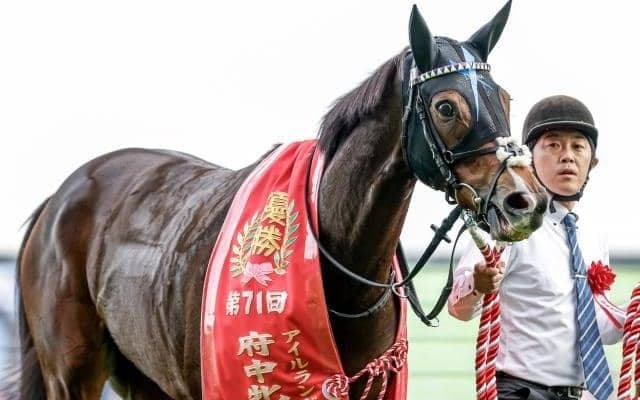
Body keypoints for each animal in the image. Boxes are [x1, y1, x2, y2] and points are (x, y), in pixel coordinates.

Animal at [6, 2, 549, 399]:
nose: (525, 201)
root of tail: (61, 197)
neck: (337, 271)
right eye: (446, 107)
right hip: (71, 372)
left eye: (504, 99)